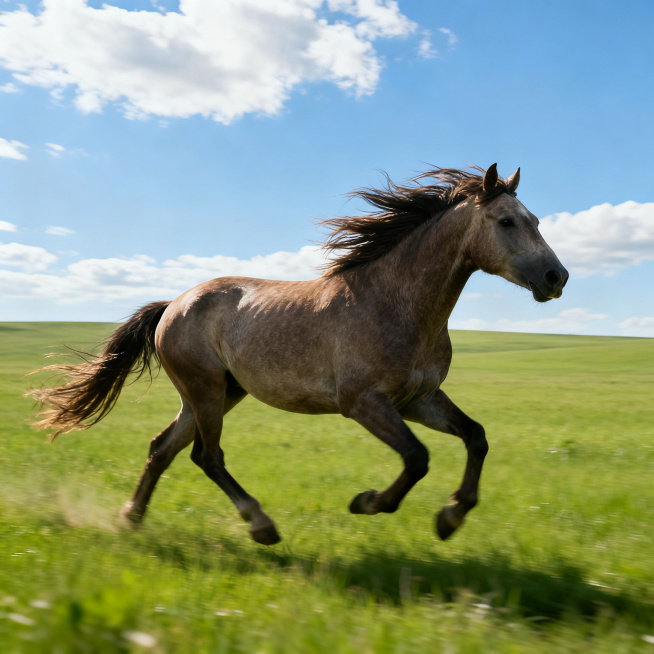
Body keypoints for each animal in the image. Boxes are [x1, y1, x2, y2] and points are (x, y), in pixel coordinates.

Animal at [28, 164, 568, 546]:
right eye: (506, 221)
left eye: (537, 220)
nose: (556, 277)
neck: (399, 304)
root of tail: (173, 306)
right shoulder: (363, 402)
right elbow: (417, 458)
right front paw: (368, 503)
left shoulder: (419, 399)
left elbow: (476, 437)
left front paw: (451, 517)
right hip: (206, 390)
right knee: (206, 455)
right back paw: (261, 526)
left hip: (220, 392)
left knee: (163, 448)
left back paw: (132, 520)